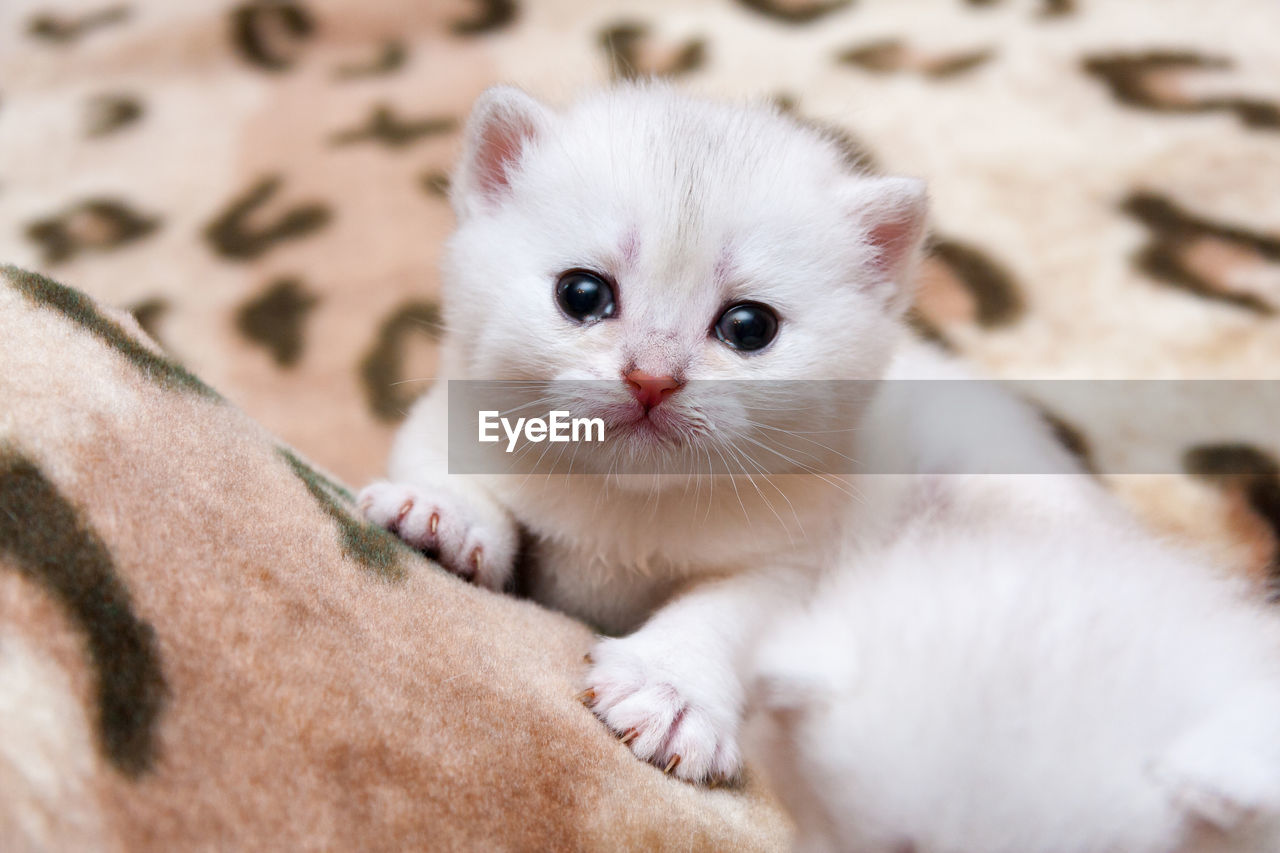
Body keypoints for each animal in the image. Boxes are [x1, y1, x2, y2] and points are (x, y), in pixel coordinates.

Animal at [363, 83, 1090, 778]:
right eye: (582, 293)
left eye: (748, 327)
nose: (652, 378)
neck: (625, 505)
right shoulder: (455, 413)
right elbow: (440, 460)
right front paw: (441, 514)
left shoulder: (795, 559)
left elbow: (726, 613)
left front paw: (671, 691)